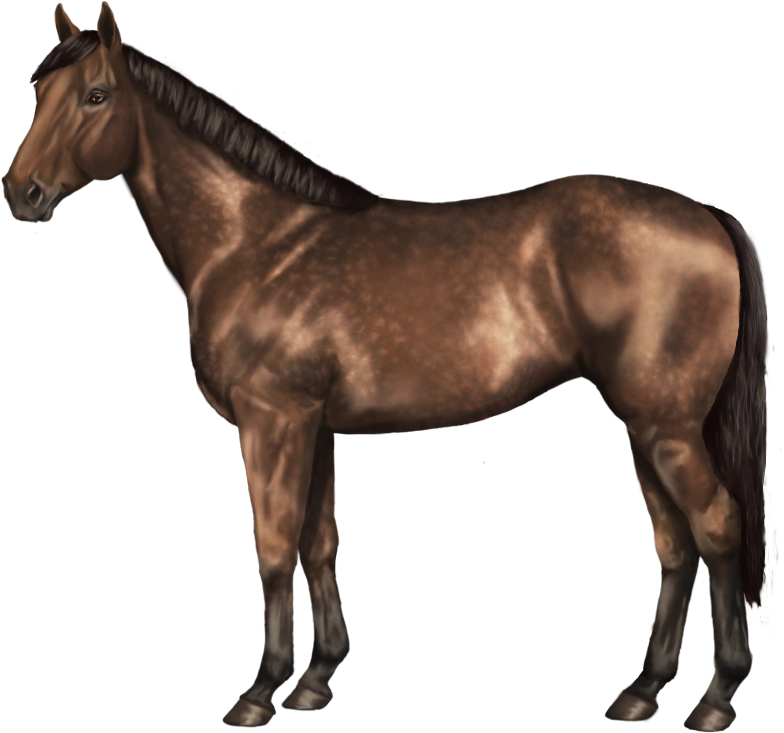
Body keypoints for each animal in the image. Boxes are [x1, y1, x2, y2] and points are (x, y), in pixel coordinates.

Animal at [3, 4, 770, 730]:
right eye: (39, 90)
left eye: (97, 95)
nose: (21, 194)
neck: (256, 243)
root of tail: (706, 216)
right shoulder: (314, 427)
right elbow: (320, 544)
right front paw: (314, 682)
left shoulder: (273, 421)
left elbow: (273, 547)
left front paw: (259, 692)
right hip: (645, 427)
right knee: (675, 545)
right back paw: (643, 690)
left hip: (666, 427)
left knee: (715, 526)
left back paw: (717, 697)